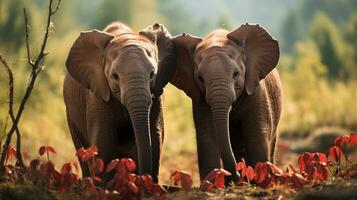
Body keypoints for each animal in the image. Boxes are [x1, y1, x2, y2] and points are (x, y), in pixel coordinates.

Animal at [64, 21, 175, 181]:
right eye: (114, 76)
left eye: (152, 74)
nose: (143, 176)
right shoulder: (98, 94)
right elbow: (104, 140)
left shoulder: (156, 95)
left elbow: (155, 136)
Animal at [166, 24, 280, 182]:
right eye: (200, 78)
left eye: (236, 74)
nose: (236, 175)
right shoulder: (200, 99)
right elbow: (207, 137)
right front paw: (212, 183)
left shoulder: (256, 92)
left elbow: (256, 135)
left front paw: (259, 182)